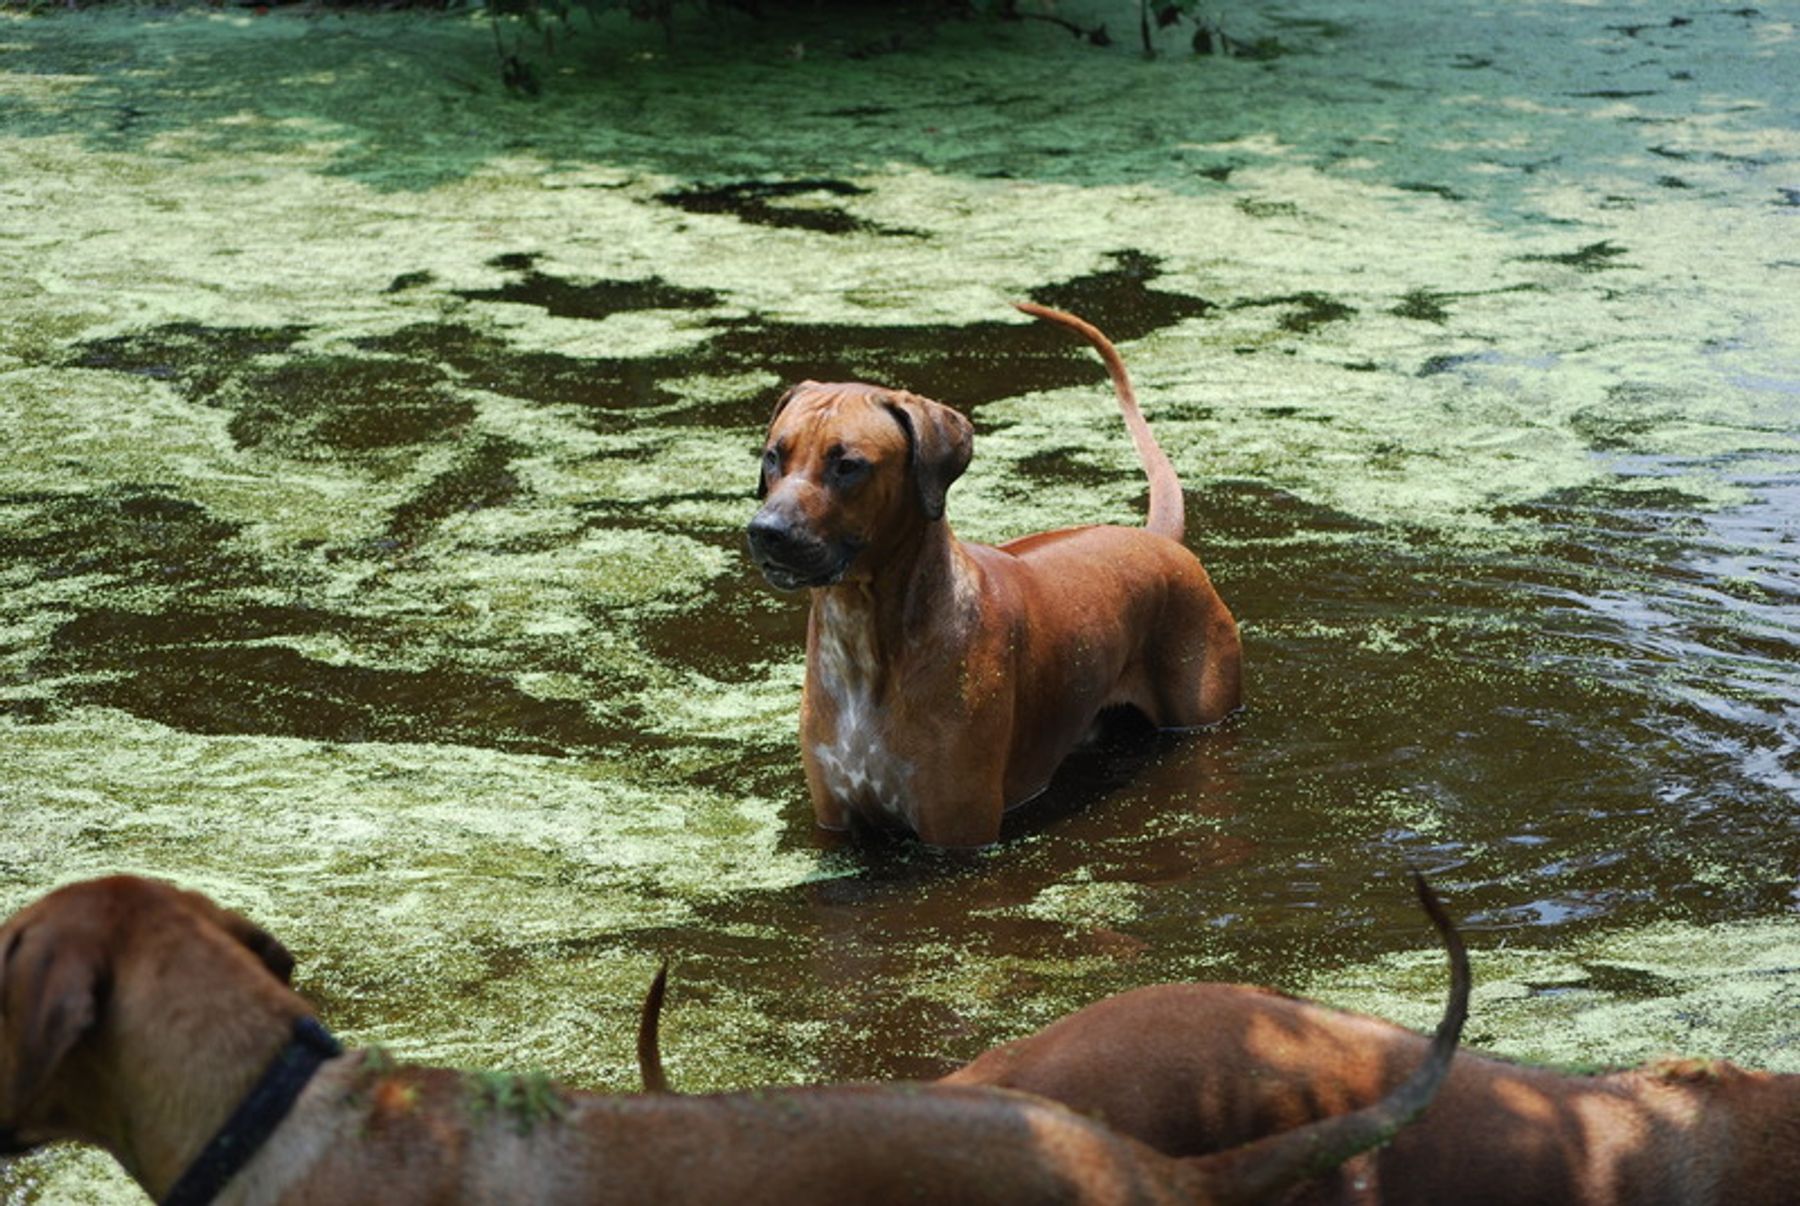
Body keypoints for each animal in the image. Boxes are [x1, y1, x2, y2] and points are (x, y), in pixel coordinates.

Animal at [745, 302, 1238, 849]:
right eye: (773, 455)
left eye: (848, 465)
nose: (766, 531)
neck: (862, 638)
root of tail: (1160, 539)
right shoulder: (835, 820)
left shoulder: (958, 829)